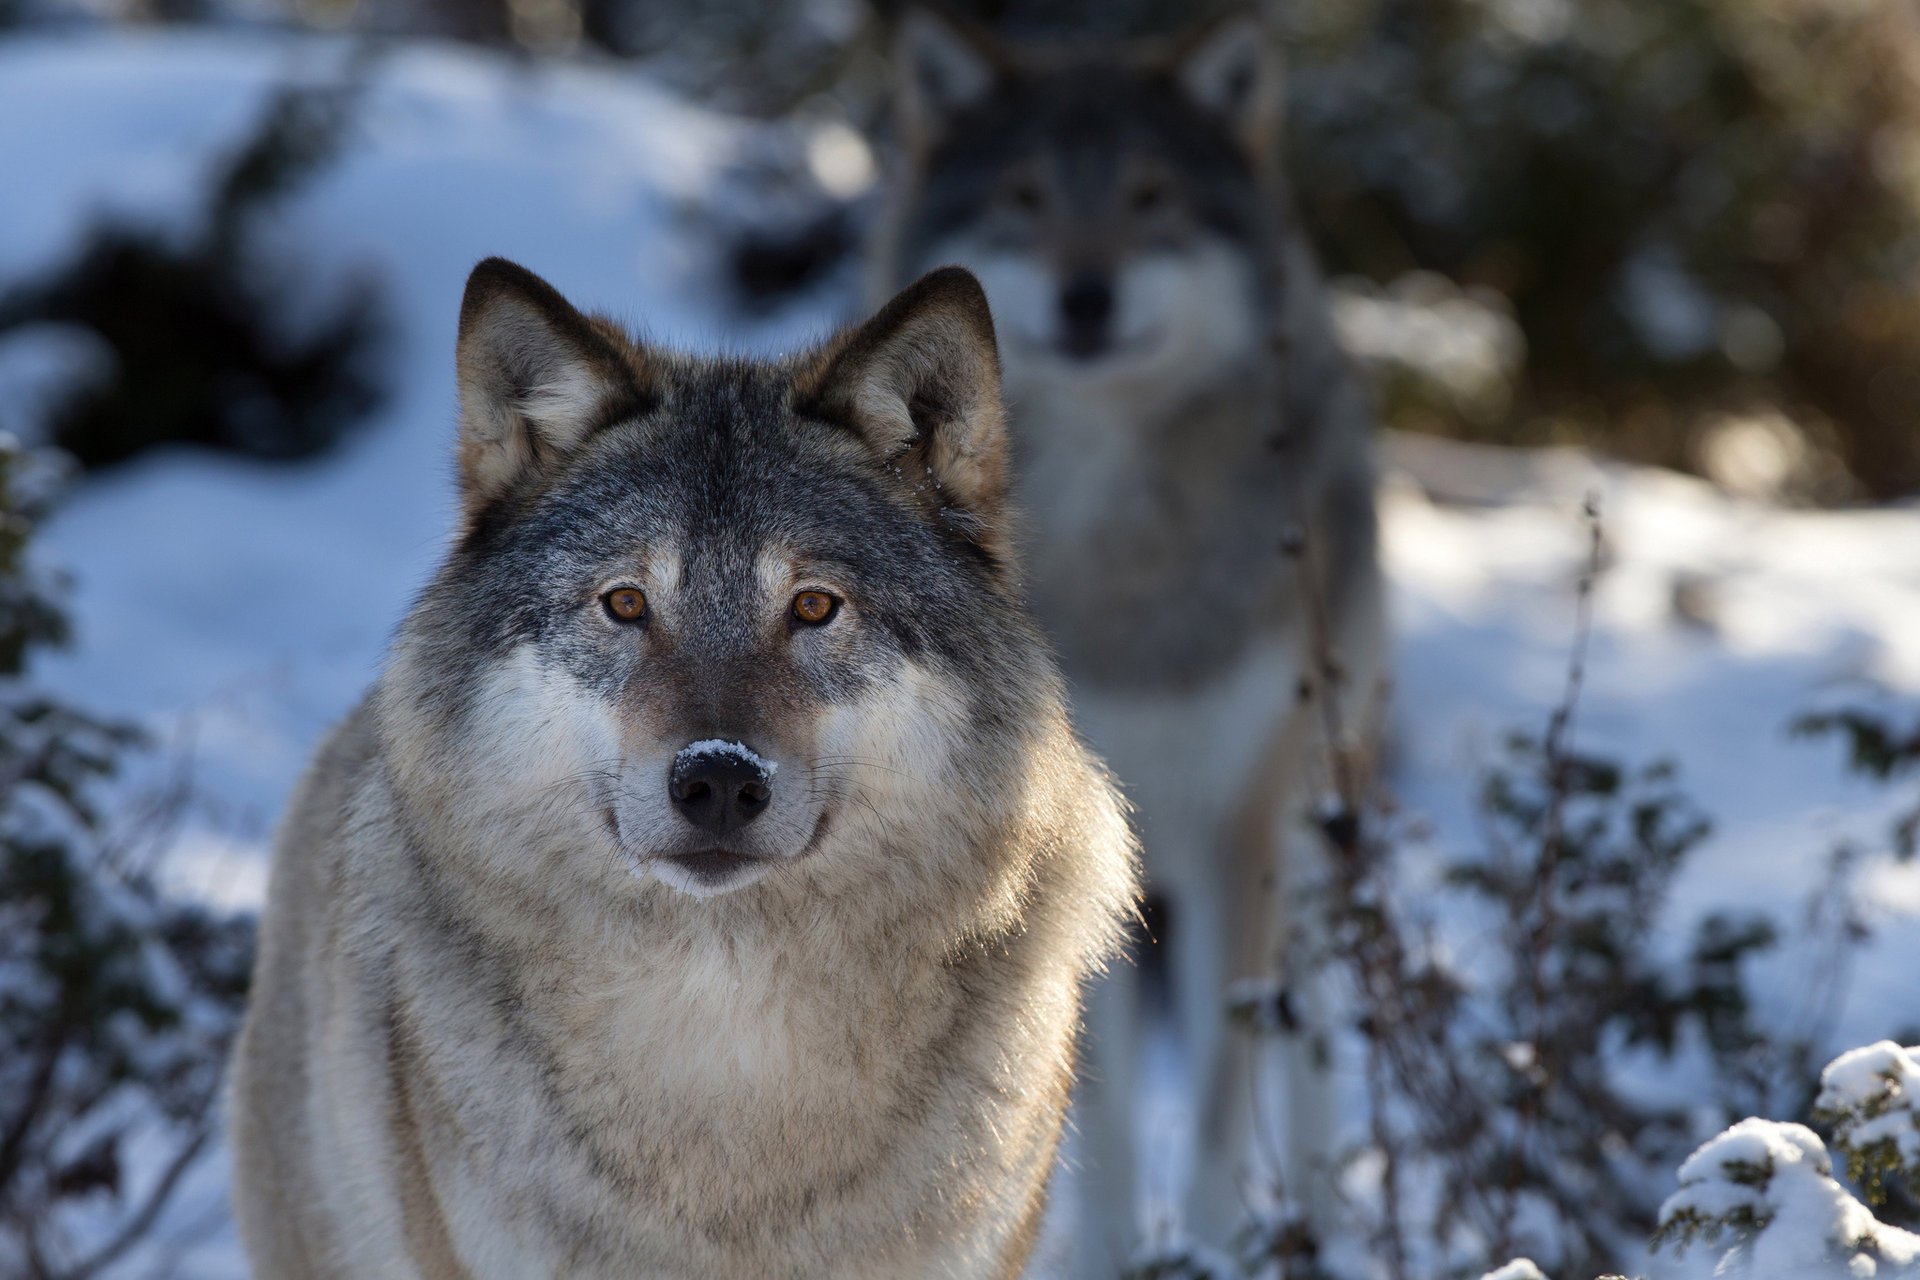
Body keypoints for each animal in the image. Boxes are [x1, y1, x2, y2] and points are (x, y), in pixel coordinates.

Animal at [871, 7, 1388, 1267]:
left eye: (1152, 196)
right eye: (1024, 195)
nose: (1087, 294)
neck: (1120, 555)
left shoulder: (1239, 826)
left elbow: (1217, 1088)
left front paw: (1205, 1243)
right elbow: (1088, 1093)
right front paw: (1104, 1248)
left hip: (1314, 816)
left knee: (1307, 1034)